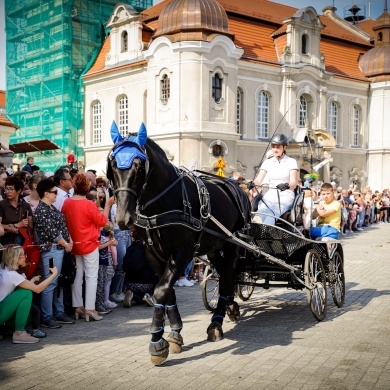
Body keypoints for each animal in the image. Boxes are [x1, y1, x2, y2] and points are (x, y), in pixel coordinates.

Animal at [106, 122, 250, 366]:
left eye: (139, 166)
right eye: (113, 165)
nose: (124, 218)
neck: (162, 202)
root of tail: (234, 185)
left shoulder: (182, 252)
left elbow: (162, 289)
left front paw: (157, 342)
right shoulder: (153, 253)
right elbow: (166, 291)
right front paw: (174, 333)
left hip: (231, 246)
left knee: (227, 278)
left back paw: (216, 322)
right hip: (214, 249)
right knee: (225, 276)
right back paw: (229, 306)